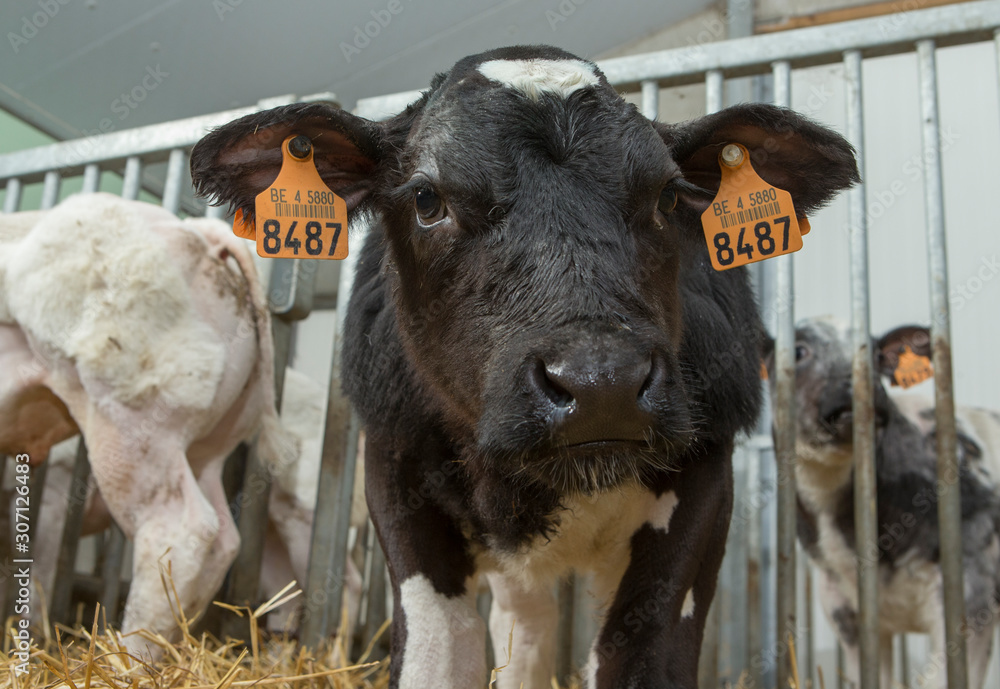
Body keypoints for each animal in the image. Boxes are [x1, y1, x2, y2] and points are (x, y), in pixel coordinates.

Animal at [0, 193, 296, 657]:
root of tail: (199, 232)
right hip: (205, 443)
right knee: (222, 539)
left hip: (131, 424)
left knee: (181, 526)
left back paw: (128, 660)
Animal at [190, 45, 859, 688]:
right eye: (426, 199)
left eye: (668, 195)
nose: (602, 383)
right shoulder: (394, 459)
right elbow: (439, 657)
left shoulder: (704, 476)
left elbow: (641, 654)